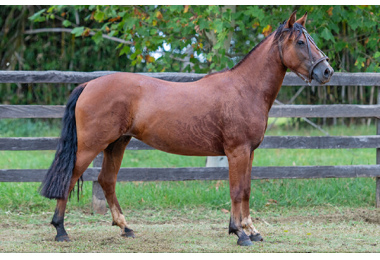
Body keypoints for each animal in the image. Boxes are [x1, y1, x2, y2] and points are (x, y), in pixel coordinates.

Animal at [39, 10, 332, 246]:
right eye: (301, 42)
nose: (327, 71)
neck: (244, 89)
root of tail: (88, 84)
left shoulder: (249, 152)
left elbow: (246, 189)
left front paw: (252, 230)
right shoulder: (237, 151)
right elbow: (237, 190)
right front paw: (239, 233)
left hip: (116, 143)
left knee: (107, 181)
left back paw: (126, 227)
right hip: (91, 145)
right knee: (69, 178)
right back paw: (61, 231)